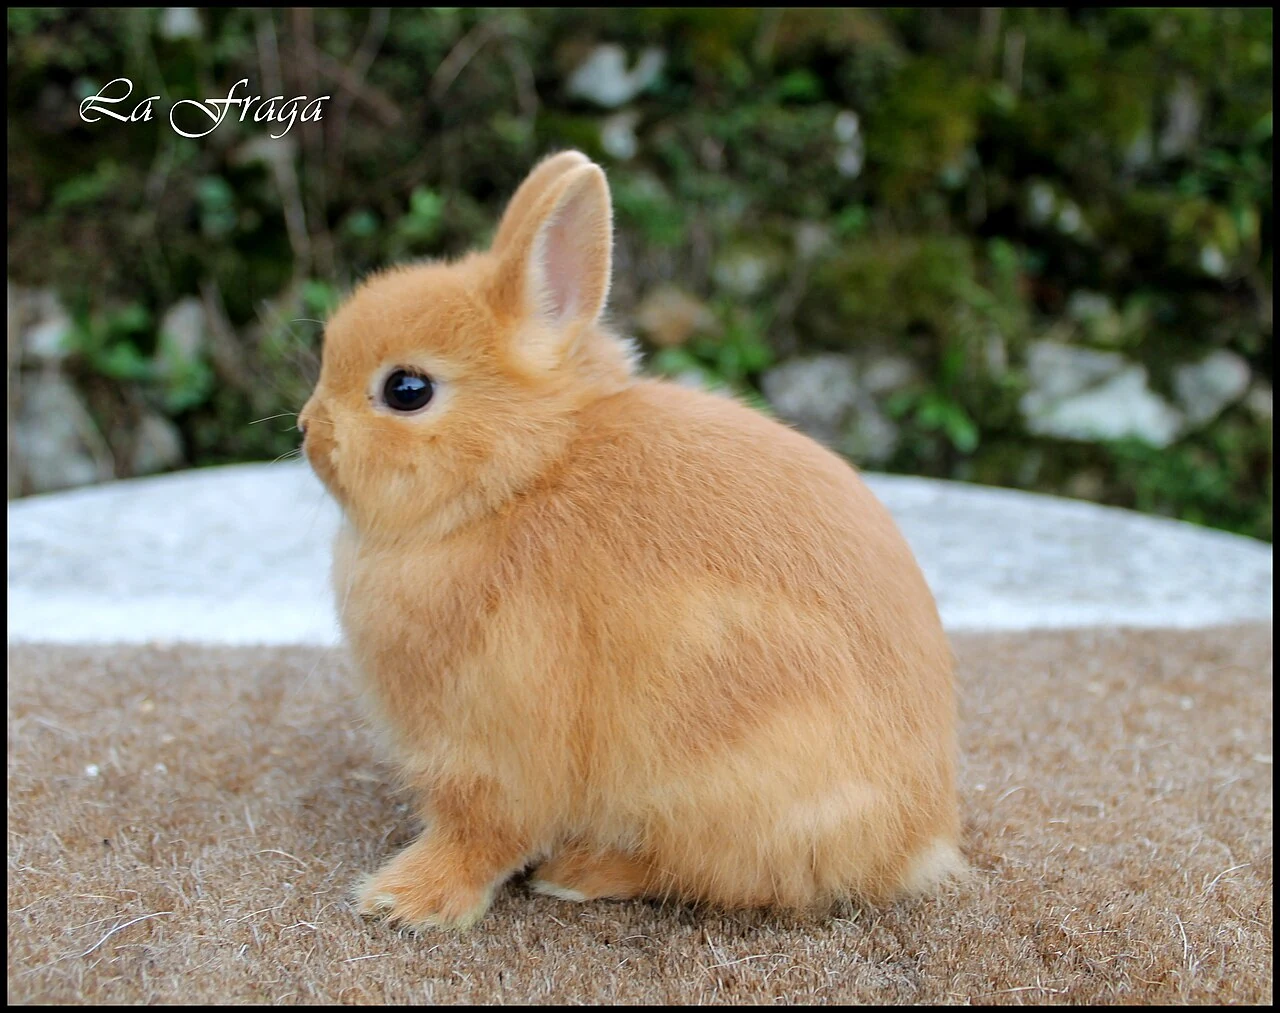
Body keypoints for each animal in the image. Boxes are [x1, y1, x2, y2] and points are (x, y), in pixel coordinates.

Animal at [298, 150, 963, 932]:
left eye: (406, 390)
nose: (308, 430)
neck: (518, 480)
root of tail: (917, 839)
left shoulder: (496, 744)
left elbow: (480, 834)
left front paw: (404, 900)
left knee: (713, 873)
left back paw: (580, 874)